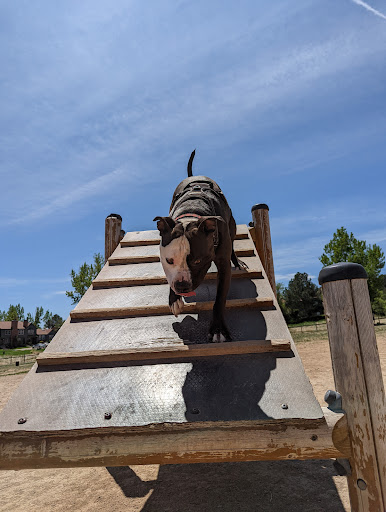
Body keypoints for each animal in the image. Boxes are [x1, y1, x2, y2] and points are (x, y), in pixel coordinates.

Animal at [153, 152, 246, 344]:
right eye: (169, 260)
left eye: (197, 261)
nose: (181, 286)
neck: (191, 214)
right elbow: (170, 276)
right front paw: (174, 299)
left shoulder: (223, 265)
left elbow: (219, 299)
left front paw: (218, 329)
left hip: (232, 225)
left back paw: (238, 262)